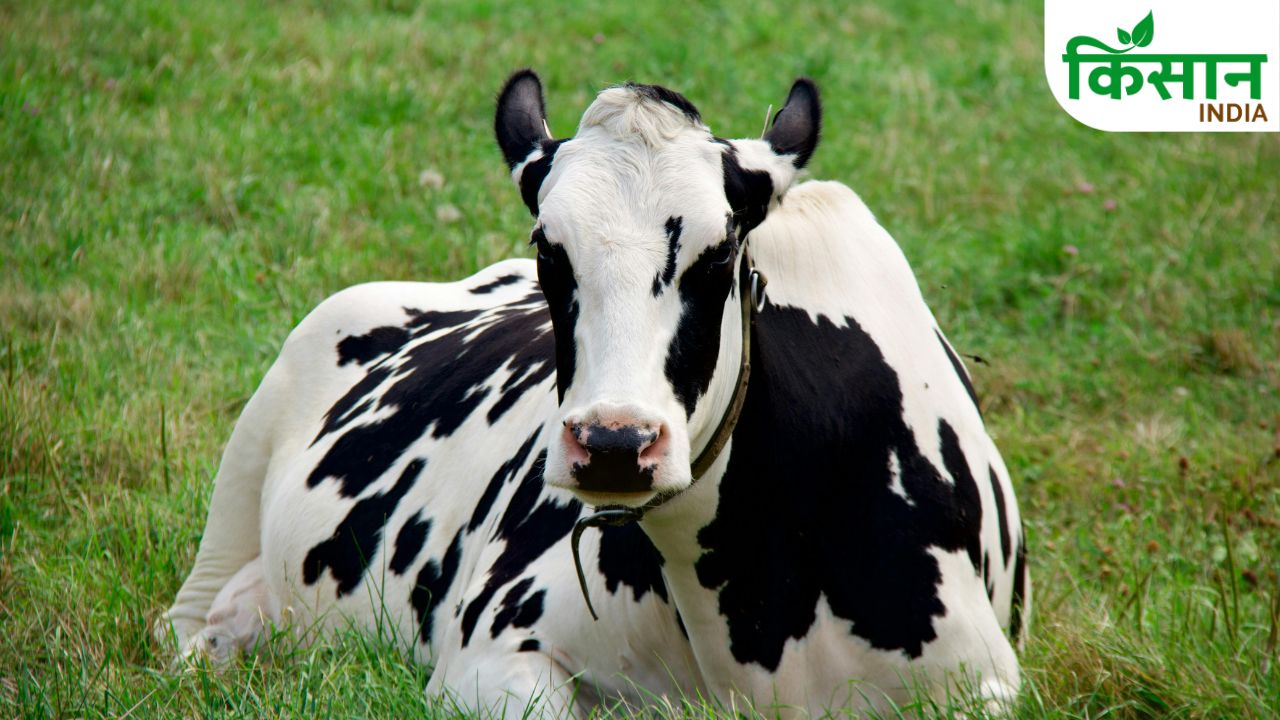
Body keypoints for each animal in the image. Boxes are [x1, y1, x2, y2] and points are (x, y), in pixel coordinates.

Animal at [158, 70, 1029, 717]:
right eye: (551, 251)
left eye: (720, 255)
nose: (615, 443)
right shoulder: (487, 657)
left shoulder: (983, 683)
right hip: (242, 473)